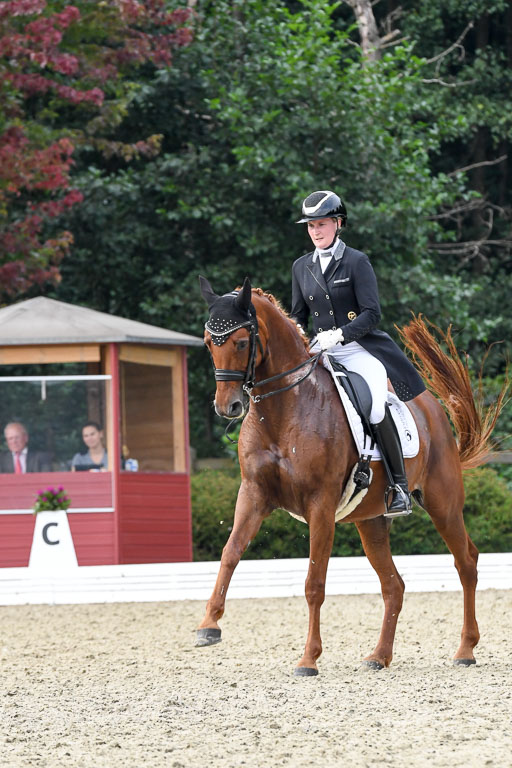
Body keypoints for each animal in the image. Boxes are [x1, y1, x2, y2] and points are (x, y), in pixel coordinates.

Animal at [195, 280, 504, 676]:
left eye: (240, 343)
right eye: (208, 342)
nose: (227, 407)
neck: (283, 409)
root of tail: (431, 408)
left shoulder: (321, 505)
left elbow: (314, 582)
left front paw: (308, 659)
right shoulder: (253, 494)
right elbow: (230, 553)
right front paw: (209, 625)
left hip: (443, 503)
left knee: (466, 562)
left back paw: (465, 649)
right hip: (371, 521)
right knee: (394, 585)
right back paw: (379, 656)